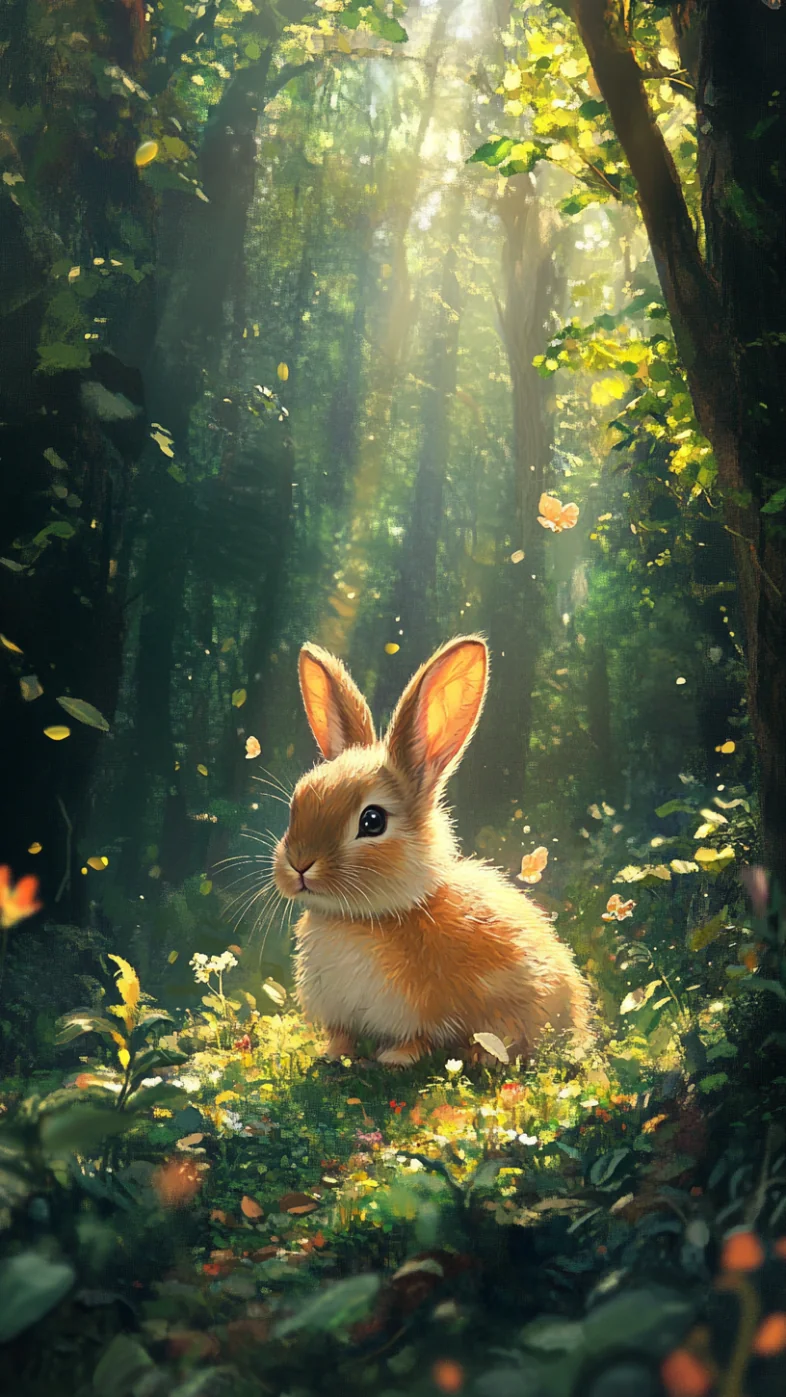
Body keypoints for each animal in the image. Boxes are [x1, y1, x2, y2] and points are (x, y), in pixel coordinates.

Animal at [272, 635, 592, 1066]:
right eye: (298, 801)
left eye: (372, 821)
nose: (299, 864)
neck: (363, 917)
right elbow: (343, 1037)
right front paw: (334, 1055)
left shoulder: (430, 1013)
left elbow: (420, 1039)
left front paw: (395, 1058)